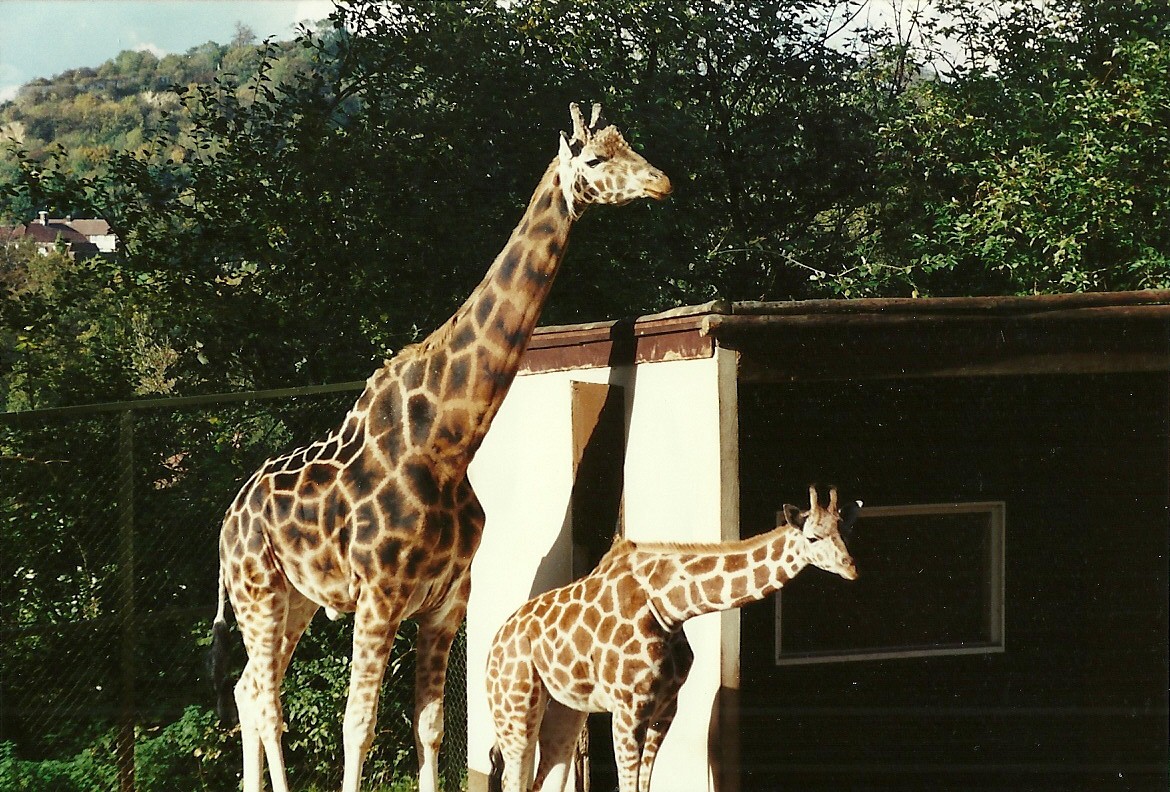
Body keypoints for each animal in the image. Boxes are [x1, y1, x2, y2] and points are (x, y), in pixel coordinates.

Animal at [209, 103, 671, 792]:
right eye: (594, 159)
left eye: (630, 145)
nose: (660, 182)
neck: (446, 445)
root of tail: (226, 521)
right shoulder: (378, 598)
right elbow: (358, 726)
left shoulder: (448, 599)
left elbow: (428, 728)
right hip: (256, 590)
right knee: (266, 699)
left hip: (293, 599)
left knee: (245, 690)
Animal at [485, 485, 861, 792]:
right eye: (813, 537)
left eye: (847, 530)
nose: (851, 568)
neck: (671, 607)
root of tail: (496, 643)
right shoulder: (628, 709)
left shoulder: (665, 707)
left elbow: (644, 784)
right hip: (515, 706)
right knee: (511, 779)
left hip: (567, 708)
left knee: (543, 778)